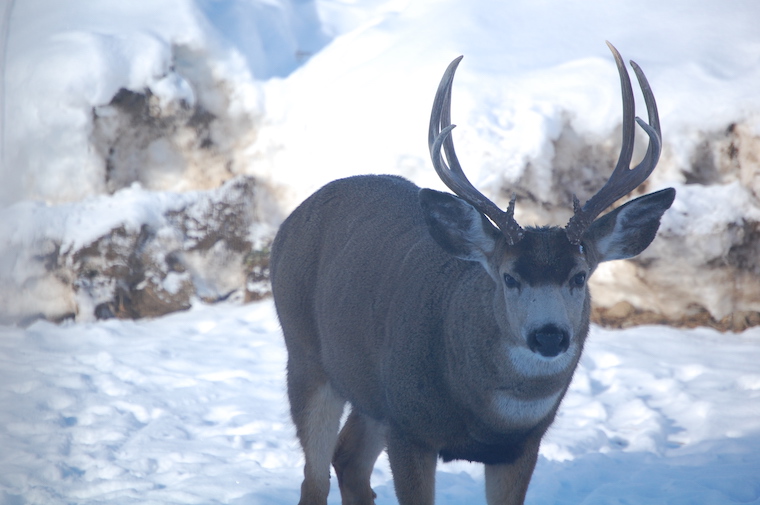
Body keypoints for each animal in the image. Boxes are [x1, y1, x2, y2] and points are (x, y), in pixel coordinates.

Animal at [269, 42, 675, 505]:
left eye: (579, 276)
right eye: (509, 277)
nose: (549, 335)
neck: (488, 414)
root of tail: (290, 221)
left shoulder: (520, 447)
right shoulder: (409, 428)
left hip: (369, 389)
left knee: (349, 459)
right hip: (305, 355)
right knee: (314, 477)